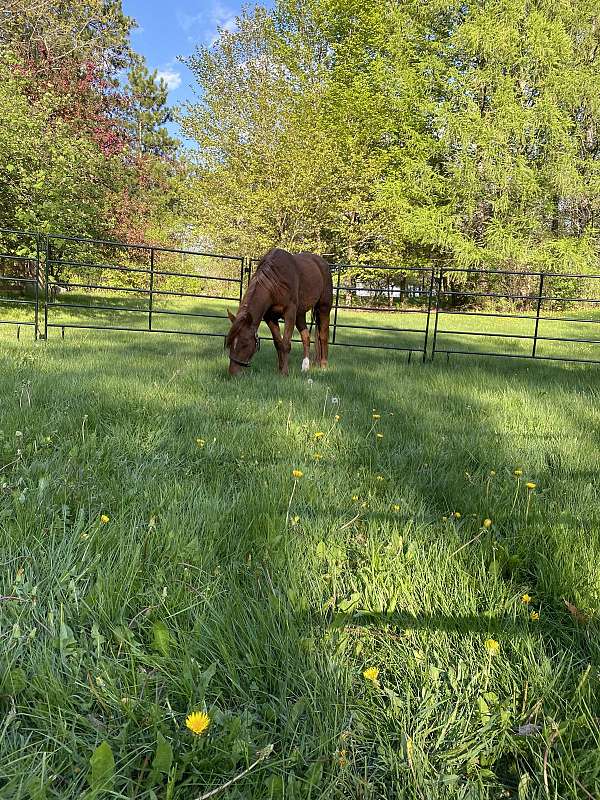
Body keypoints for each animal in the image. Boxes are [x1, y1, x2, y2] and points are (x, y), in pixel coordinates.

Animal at [227, 248, 336, 376]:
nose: (233, 373)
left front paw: (284, 372)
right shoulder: (270, 317)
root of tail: (323, 263)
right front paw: (280, 369)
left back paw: (323, 365)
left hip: (323, 309)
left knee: (323, 336)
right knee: (306, 337)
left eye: (244, 343)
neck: (275, 283)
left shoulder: (289, 314)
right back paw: (305, 367)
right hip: (300, 314)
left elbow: (286, 343)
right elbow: (278, 343)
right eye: (230, 342)